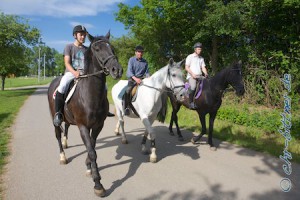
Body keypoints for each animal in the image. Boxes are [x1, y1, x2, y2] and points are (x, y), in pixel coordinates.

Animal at [47, 31, 122, 197]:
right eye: (97, 49)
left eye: (112, 48)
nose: (117, 70)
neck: (89, 95)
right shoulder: (83, 127)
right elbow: (92, 152)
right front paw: (98, 184)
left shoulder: (98, 126)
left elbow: (92, 147)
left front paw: (89, 167)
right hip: (54, 118)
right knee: (57, 134)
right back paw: (62, 156)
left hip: (69, 119)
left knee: (66, 127)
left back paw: (66, 143)